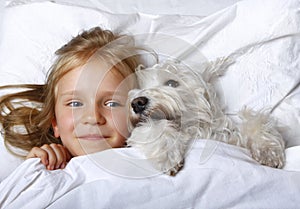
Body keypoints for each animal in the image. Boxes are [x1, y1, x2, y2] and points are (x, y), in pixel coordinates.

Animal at [126, 59, 286, 176]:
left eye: (172, 83)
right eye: (138, 88)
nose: (137, 103)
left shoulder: (232, 137)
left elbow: (257, 122)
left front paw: (267, 151)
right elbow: (155, 127)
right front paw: (168, 156)